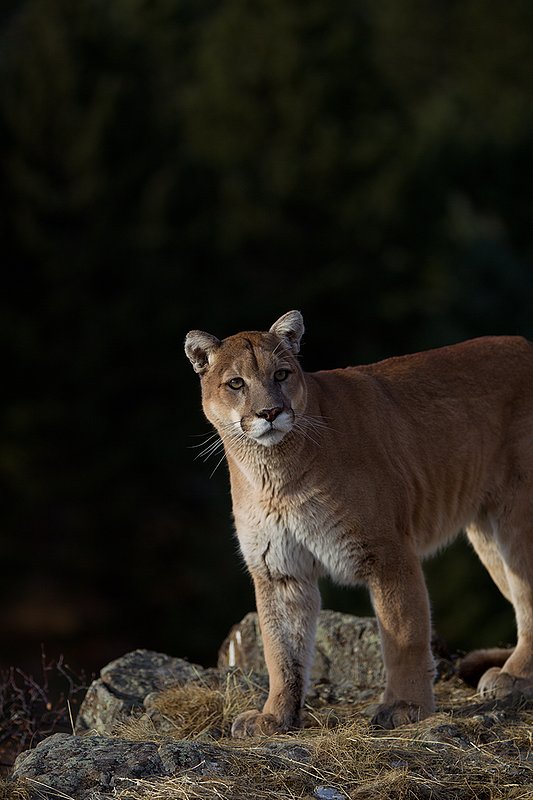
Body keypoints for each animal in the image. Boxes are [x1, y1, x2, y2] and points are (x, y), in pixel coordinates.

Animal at [185, 310, 533, 735]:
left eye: (281, 374)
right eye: (236, 383)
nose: (269, 413)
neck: (274, 473)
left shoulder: (388, 552)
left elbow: (404, 634)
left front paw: (405, 707)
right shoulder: (278, 568)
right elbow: (280, 649)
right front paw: (276, 715)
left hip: (518, 518)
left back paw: (513, 676)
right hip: (487, 537)